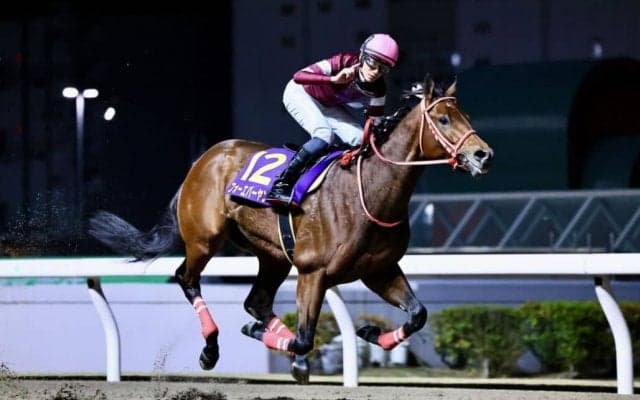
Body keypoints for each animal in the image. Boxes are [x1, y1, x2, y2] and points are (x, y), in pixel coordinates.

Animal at [88, 75, 493, 383]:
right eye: (443, 119)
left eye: (465, 114)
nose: (483, 155)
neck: (370, 190)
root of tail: (203, 159)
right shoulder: (313, 272)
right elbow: (303, 338)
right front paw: (269, 341)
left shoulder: (378, 270)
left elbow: (418, 313)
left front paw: (369, 333)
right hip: (204, 240)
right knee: (187, 279)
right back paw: (211, 348)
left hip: (273, 255)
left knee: (256, 301)